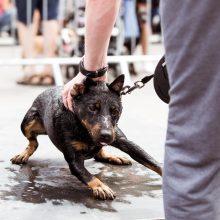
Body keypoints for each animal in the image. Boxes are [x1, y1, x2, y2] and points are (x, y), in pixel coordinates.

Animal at [11, 75, 162, 200]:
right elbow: (88, 176)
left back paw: (113, 157)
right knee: (33, 142)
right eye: (92, 108)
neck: (84, 130)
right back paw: (23, 154)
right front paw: (101, 187)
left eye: (114, 111)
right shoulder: (74, 159)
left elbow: (151, 161)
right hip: (27, 122)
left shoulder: (125, 141)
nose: (106, 135)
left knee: (99, 153)